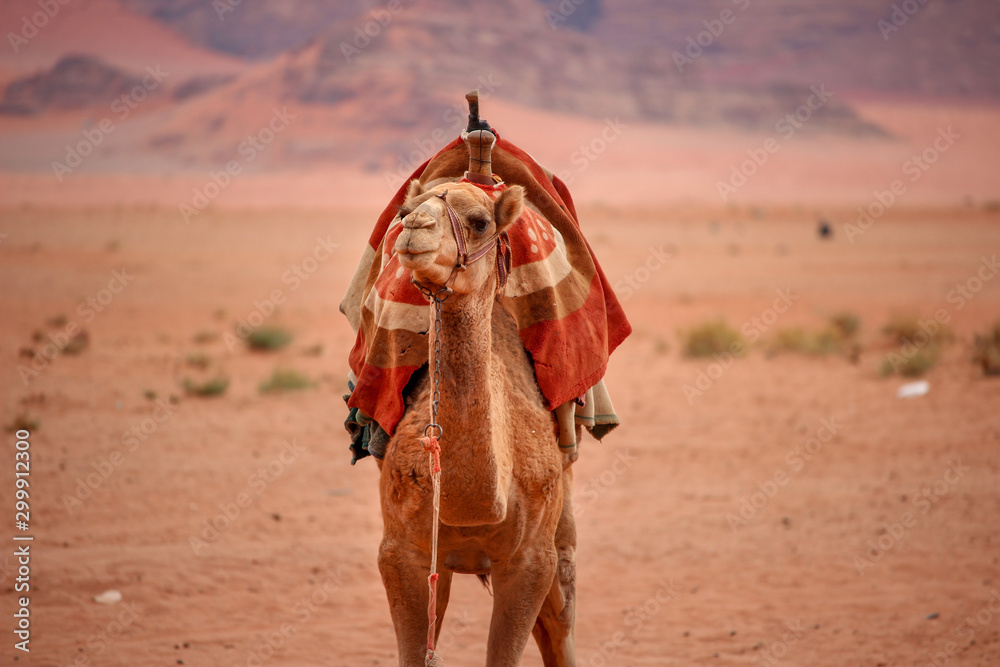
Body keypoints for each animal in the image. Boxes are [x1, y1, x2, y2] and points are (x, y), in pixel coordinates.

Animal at [375, 176, 579, 666]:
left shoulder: (531, 560)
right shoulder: (400, 553)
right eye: (404, 210)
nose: (415, 227)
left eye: (481, 221)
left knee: (560, 619)